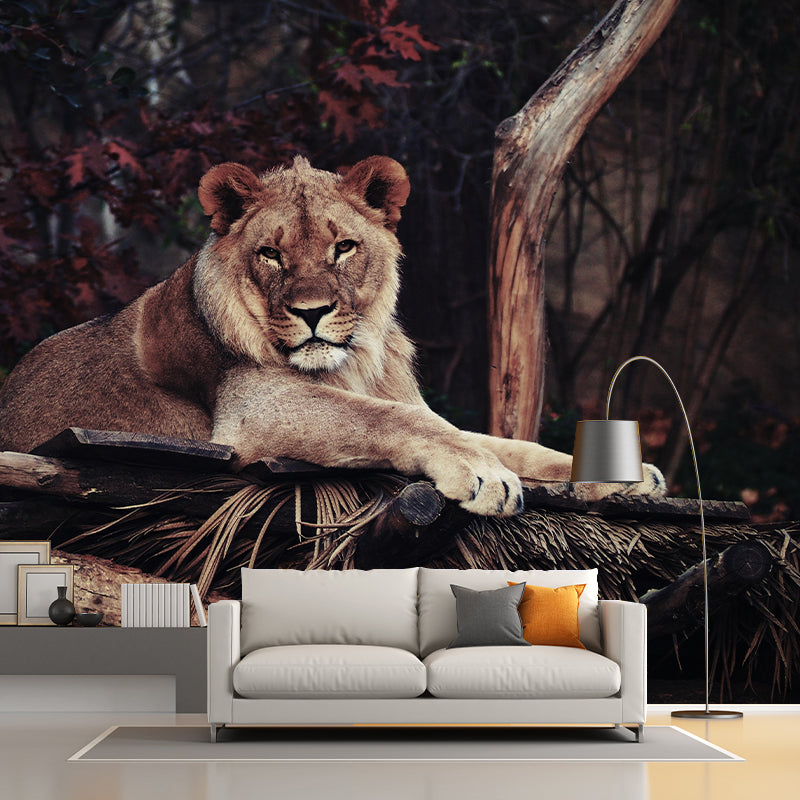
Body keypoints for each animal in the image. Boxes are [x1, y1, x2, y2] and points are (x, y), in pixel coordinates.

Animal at [0, 155, 664, 516]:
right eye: (270, 255)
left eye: (343, 247)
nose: (313, 311)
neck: (354, 362)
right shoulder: (254, 409)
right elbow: (395, 421)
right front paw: (480, 473)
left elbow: (508, 443)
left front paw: (620, 474)